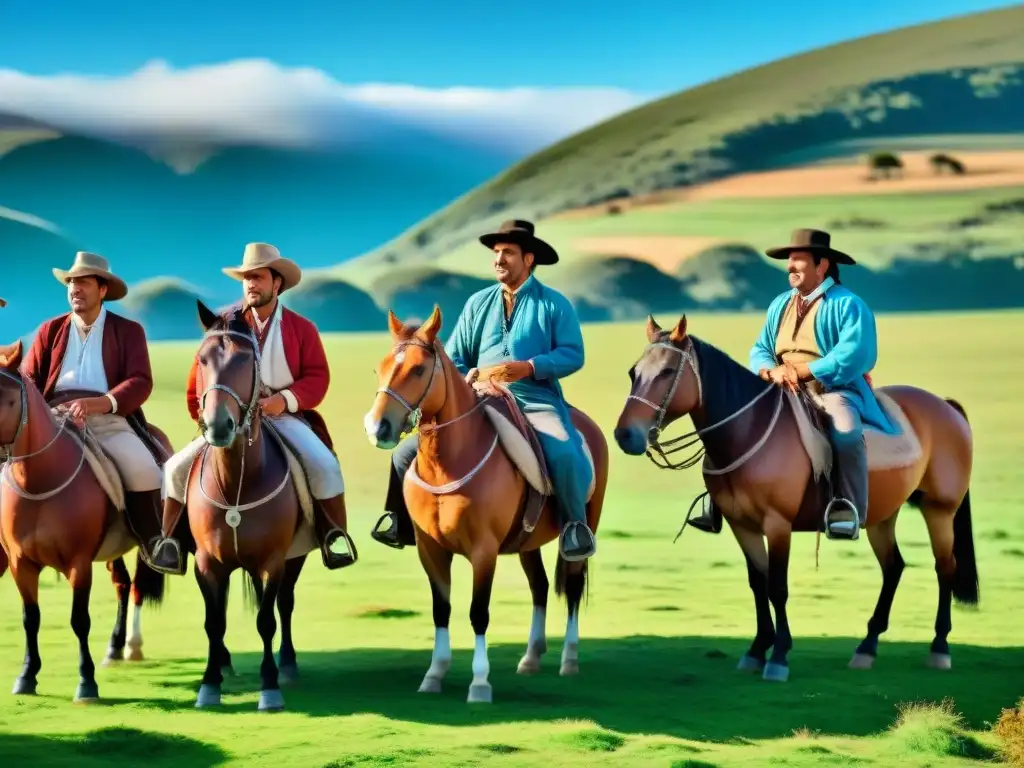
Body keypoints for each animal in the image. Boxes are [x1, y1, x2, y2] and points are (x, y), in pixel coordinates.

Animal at [0, 342, 173, 704]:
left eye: (6, 400)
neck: (39, 482)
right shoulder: (20, 563)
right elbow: (30, 618)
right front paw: (27, 675)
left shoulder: (79, 563)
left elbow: (79, 620)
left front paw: (86, 682)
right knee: (122, 584)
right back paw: (115, 648)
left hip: (149, 543)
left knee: (139, 585)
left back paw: (133, 646)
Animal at [182, 303, 329, 712]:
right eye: (201, 360)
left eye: (246, 360)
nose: (219, 426)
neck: (237, 484)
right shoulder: (207, 562)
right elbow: (213, 622)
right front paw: (209, 684)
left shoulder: (272, 561)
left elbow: (267, 620)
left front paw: (269, 687)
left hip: (295, 557)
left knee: (285, 604)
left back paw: (288, 665)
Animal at [366, 305, 610, 704]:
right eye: (381, 367)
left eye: (418, 369)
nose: (378, 427)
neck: (448, 463)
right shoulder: (431, 550)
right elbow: (441, 609)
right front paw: (434, 674)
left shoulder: (484, 551)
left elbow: (478, 612)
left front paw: (480, 683)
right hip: (527, 542)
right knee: (540, 586)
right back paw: (531, 657)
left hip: (585, 526)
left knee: (572, 588)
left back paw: (569, 659)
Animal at [610, 315, 978, 684]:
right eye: (632, 373)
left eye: (668, 372)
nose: (625, 435)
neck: (748, 431)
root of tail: (946, 406)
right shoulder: (741, 525)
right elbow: (758, 584)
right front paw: (757, 650)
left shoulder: (777, 524)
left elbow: (777, 587)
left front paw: (779, 656)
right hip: (881, 516)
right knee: (894, 567)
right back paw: (866, 647)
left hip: (939, 510)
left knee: (944, 567)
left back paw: (939, 648)